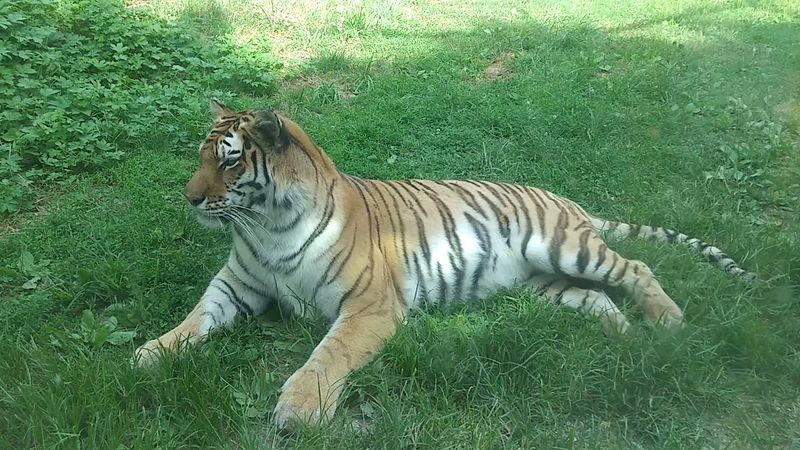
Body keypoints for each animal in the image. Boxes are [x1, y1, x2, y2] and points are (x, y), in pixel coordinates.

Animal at [133, 100, 752, 429]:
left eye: (230, 162)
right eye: (201, 156)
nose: (189, 198)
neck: (267, 225)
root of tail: (570, 202)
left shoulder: (369, 307)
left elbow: (328, 356)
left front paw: (298, 410)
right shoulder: (237, 282)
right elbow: (196, 317)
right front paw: (151, 352)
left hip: (563, 248)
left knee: (638, 268)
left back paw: (666, 323)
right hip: (547, 284)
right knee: (599, 297)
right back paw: (621, 337)